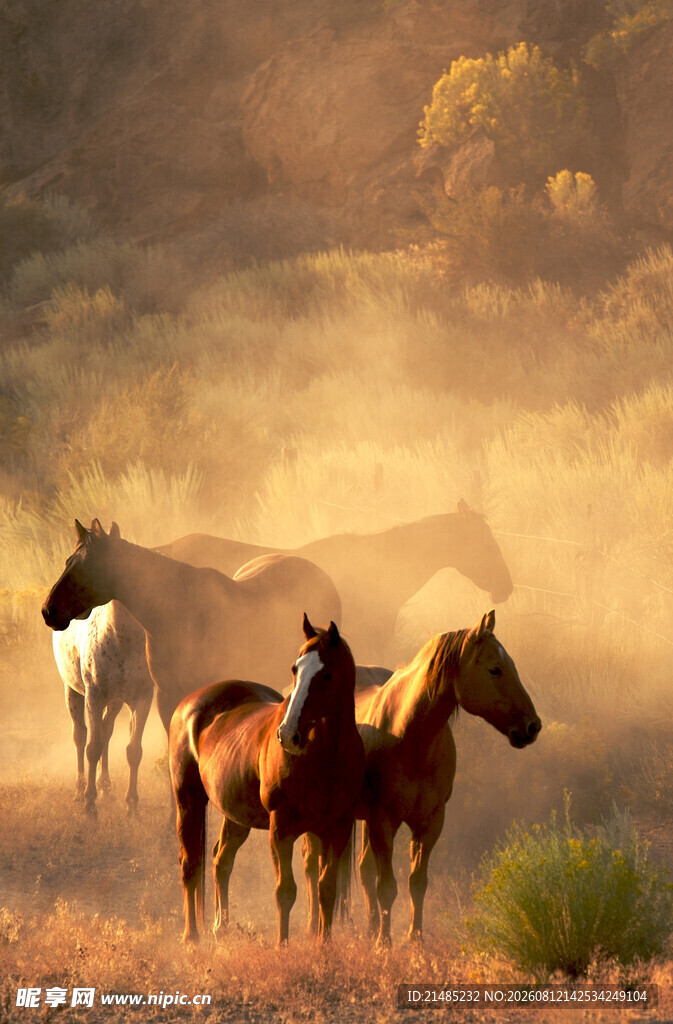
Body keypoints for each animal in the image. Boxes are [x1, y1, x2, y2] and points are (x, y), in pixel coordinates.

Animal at [42, 520, 342, 739]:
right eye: (68, 561)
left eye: (86, 567)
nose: (48, 610)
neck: (176, 614)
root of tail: (322, 575)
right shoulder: (166, 699)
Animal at [53, 602, 154, 815]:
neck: (121, 637)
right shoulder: (94, 696)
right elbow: (92, 747)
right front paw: (89, 803)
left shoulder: (142, 699)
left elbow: (133, 750)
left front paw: (131, 805)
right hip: (72, 691)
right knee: (80, 735)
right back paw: (80, 789)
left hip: (115, 702)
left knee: (106, 732)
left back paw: (105, 786)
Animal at [169, 614, 365, 945]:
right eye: (295, 669)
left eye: (327, 674)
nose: (287, 734)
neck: (324, 757)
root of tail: (189, 705)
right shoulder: (281, 829)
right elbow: (285, 891)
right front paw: (282, 946)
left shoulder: (335, 828)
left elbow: (326, 889)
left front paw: (323, 946)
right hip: (188, 801)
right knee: (190, 864)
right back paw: (190, 936)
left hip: (236, 816)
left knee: (221, 860)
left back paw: (221, 926)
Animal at [303, 610, 541, 945]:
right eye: (495, 669)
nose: (533, 726)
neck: (409, 736)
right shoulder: (384, 821)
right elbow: (387, 886)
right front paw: (384, 944)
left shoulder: (429, 823)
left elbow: (416, 883)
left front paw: (414, 940)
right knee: (313, 869)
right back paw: (314, 927)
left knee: (362, 871)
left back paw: (371, 928)